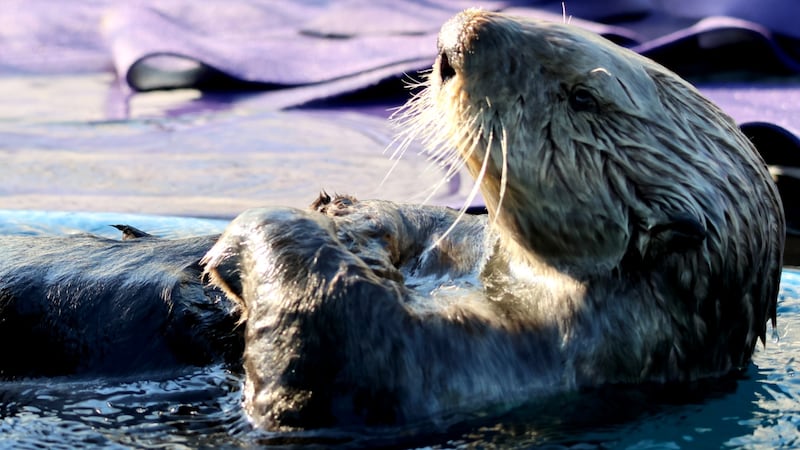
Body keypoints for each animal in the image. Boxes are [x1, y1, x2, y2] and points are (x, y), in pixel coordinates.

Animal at [201, 9, 784, 430]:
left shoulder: (499, 364)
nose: (456, 37)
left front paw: (256, 233)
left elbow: (329, 351)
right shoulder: (464, 242)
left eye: (583, 97)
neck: (508, 279)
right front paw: (348, 213)